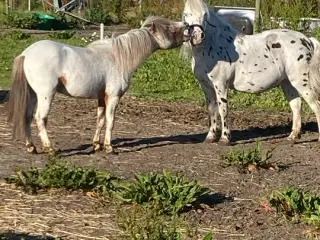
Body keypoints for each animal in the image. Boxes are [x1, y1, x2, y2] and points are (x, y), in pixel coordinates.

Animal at [5, 15, 190, 155]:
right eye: (170, 29)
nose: (188, 27)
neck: (118, 57)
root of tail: (26, 54)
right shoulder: (113, 97)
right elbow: (110, 120)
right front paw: (109, 147)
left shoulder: (102, 97)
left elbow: (100, 120)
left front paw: (96, 145)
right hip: (45, 95)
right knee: (40, 118)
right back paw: (49, 149)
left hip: (32, 95)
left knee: (27, 117)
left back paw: (31, 147)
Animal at [181, 0, 320, 144]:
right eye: (185, 14)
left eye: (205, 15)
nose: (197, 36)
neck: (213, 46)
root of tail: (307, 40)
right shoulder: (206, 86)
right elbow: (211, 110)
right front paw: (210, 137)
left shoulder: (221, 84)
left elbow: (222, 109)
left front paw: (224, 138)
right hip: (287, 83)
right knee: (296, 106)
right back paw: (293, 136)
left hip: (301, 81)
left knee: (316, 106)